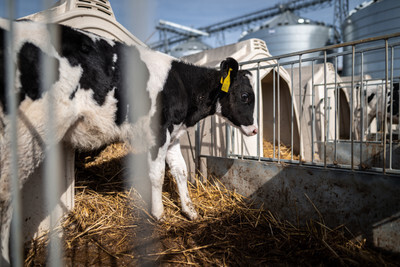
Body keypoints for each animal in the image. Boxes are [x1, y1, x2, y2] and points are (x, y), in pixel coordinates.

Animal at [0, 19, 258, 264]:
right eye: (245, 96)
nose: (255, 129)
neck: (182, 88)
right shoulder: (158, 133)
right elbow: (157, 174)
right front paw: (158, 213)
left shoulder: (173, 135)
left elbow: (181, 170)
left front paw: (190, 211)